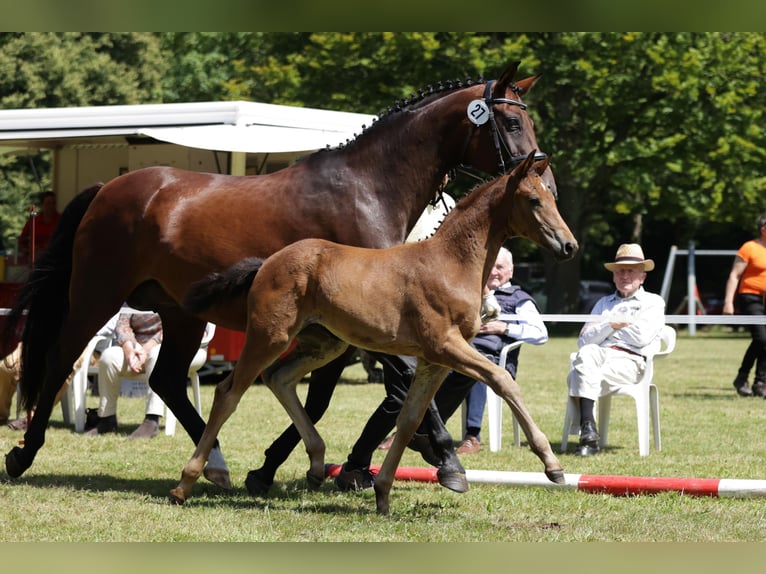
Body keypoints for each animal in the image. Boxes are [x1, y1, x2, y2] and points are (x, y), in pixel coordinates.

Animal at [0, 60, 556, 490]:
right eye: (510, 122)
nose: (543, 177)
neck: (368, 187)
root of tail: (107, 190)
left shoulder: (348, 329)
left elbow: (323, 395)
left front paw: (280, 468)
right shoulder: (380, 326)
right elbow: (383, 388)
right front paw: (445, 457)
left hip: (180, 313)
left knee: (168, 380)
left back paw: (216, 466)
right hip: (96, 296)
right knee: (60, 360)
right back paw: (23, 454)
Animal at [171, 151, 580, 516]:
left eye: (552, 197)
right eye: (533, 200)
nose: (569, 245)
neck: (450, 263)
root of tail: (267, 263)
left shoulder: (433, 360)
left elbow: (409, 420)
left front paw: (383, 494)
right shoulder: (445, 346)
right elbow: (502, 380)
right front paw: (552, 465)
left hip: (324, 343)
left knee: (279, 378)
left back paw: (316, 464)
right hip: (269, 335)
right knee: (229, 393)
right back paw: (186, 483)